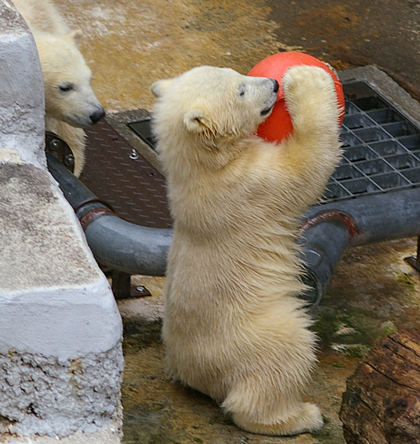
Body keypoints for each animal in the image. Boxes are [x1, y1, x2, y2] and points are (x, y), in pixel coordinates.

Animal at [153, 64, 342, 436]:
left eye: (238, 73)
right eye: (241, 90)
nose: (273, 83)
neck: (206, 168)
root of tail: (195, 373)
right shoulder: (252, 186)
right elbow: (307, 166)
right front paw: (307, 77)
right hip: (252, 334)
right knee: (286, 353)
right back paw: (299, 416)